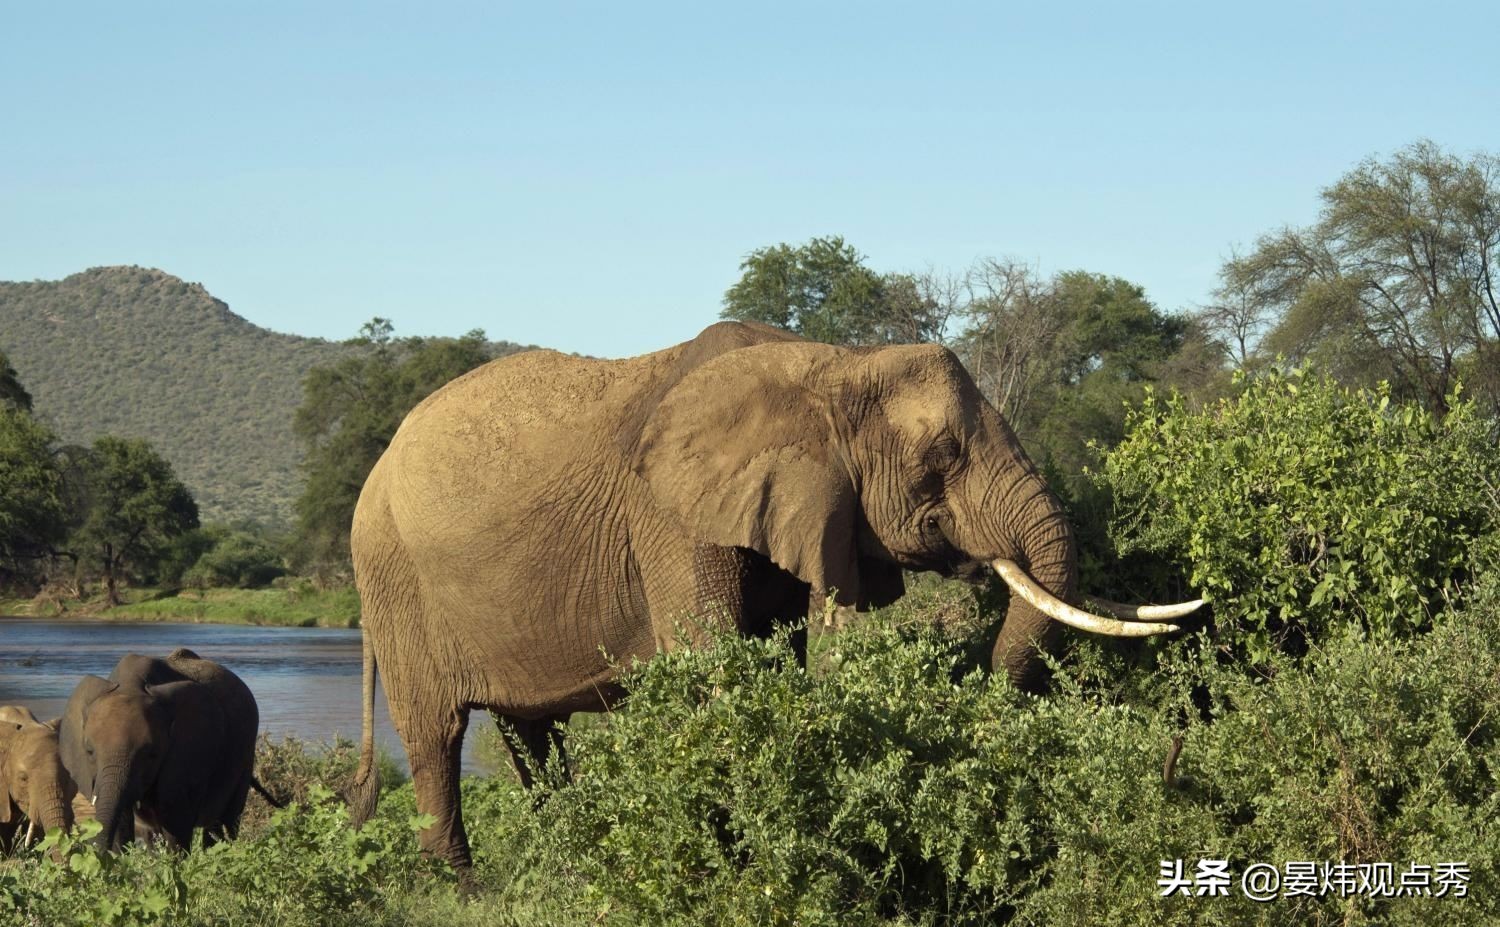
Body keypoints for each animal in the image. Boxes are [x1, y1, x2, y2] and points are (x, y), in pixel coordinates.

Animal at [59, 645, 267, 846]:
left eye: (152, 754)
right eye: (89, 752)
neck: (130, 684)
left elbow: (176, 825)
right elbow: (122, 826)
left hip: (245, 756)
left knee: (225, 822)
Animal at [345, 319, 1200, 876]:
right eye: (943, 454)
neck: (829, 364)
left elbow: (773, 656)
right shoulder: (672, 517)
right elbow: (715, 664)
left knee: (530, 735)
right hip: (392, 579)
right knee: (436, 736)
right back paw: (461, 886)